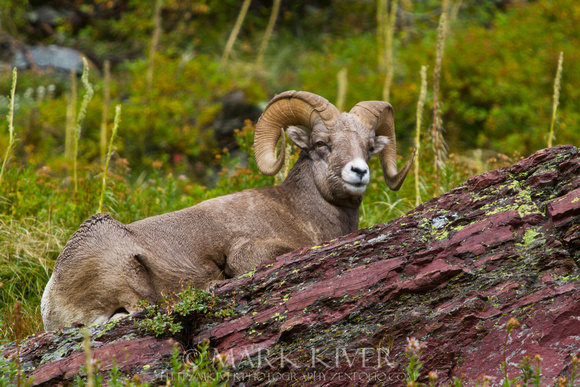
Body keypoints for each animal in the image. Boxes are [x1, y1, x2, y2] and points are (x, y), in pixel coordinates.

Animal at [40, 90, 414, 330]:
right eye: (322, 143)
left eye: (369, 146)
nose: (359, 172)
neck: (300, 210)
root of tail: (51, 297)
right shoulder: (248, 253)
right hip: (127, 275)